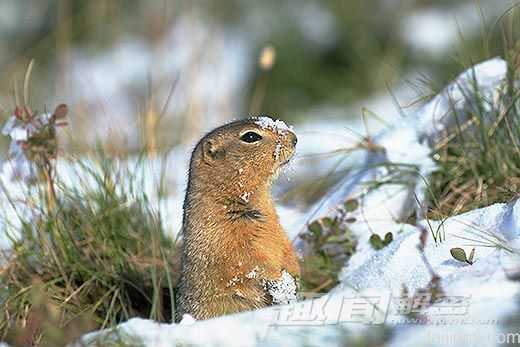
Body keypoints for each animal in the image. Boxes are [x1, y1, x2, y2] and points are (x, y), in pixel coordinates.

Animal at [176, 116, 300, 320]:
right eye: (250, 136)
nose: (294, 138)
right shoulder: (223, 235)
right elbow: (247, 260)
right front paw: (278, 280)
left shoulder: (276, 224)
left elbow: (285, 246)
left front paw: (294, 274)